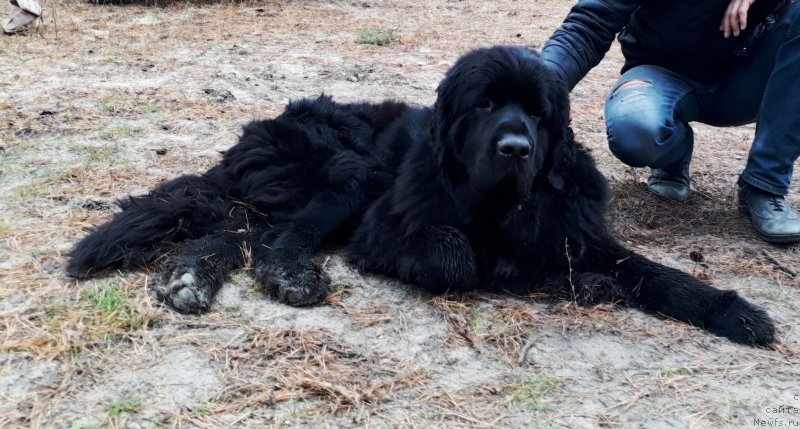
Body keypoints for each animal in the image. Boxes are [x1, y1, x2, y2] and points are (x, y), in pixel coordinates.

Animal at [69, 46, 776, 344]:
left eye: (537, 112)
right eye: (485, 105)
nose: (515, 148)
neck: (496, 204)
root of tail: (254, 133)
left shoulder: (575, 233)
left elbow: (655, 274)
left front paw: (735, 312)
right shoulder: (385, 229)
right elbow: (459, 257)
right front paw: (549, 280)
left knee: (237, 235)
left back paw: (188, 277)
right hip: (350, 176)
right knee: (273, 242)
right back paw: (292, 276)